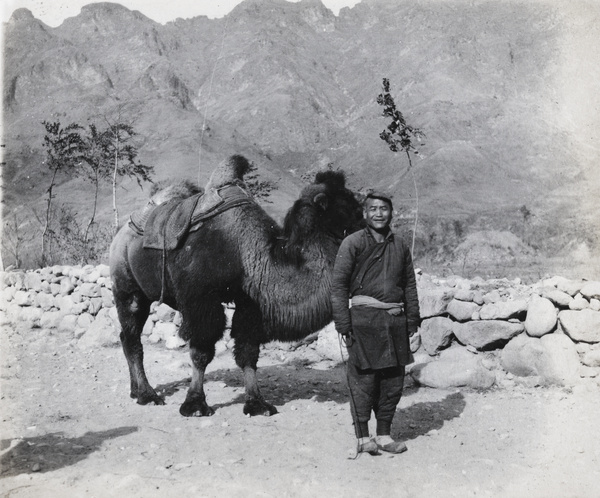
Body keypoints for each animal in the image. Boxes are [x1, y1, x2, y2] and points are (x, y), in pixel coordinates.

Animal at [110, 156, 364, 416]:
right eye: (352, 209)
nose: (370, 233)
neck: (247, 253)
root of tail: (123, 231)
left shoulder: (250, 303)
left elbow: (248, 352)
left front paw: (257, 403)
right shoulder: (202, 301)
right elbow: (201, 351)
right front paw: (195, 404)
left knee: (126, 337)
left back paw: (135, 391)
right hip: (127, 288)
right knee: (132, 338)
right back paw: (147, 394)